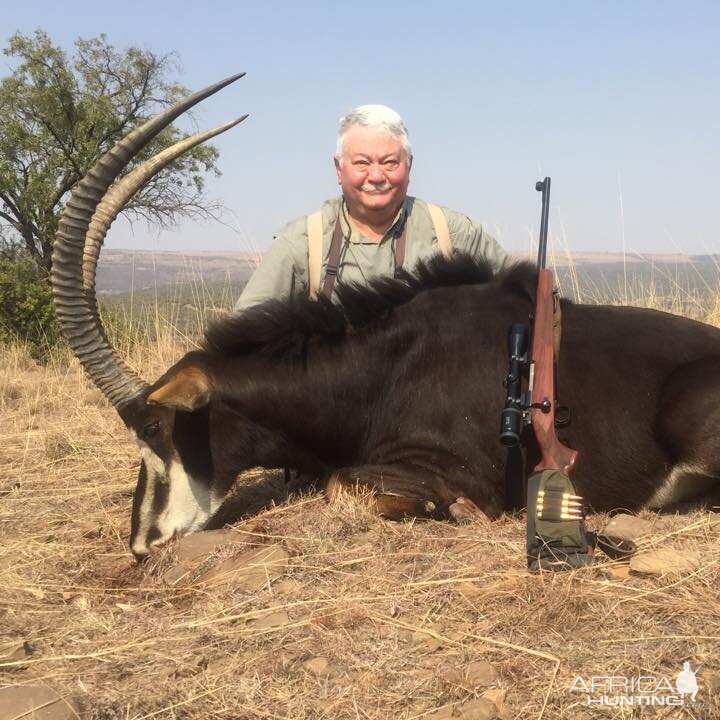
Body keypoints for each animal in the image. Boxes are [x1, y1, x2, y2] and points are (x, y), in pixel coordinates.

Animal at [53, 76, 720, 560]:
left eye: (155, 428)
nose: (142, 545)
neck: (380, 368)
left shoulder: (454, 470)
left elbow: (342, 484)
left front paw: (453, 512)